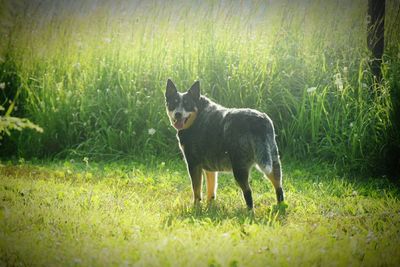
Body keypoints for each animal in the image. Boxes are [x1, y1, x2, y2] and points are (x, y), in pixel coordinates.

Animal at [165, 79, 284, 209]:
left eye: (187, 104)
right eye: (173, 104)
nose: (178, 114)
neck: (197, 118)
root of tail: (259, 121)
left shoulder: (193, 164)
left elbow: (196, 191)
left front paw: (196, 208)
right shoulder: (210, 169)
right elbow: (211, 190)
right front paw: (209, 207)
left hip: (239, 167)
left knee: (248, 192)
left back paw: (249, 211)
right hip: (272, 161)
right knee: (279, 187)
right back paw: (281, 207)